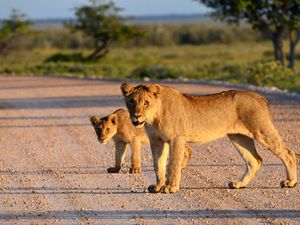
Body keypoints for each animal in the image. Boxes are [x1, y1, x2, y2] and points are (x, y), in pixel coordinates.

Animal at [120, 82, 298, 193]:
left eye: (146, 103)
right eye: (131, 102)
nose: (136, 116)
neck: (154, 117)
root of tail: (259, 96)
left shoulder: (177, 139)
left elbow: (173, 164)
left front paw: (171, 187)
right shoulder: (156, 141)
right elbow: (158, 165)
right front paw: (158, 186)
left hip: (261, 130)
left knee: (288, 153)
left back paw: (290, 182)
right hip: (238, 137)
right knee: (255, 160)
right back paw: (239, 184)